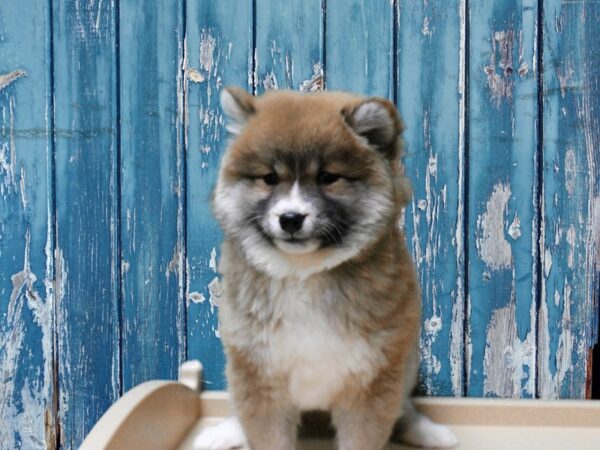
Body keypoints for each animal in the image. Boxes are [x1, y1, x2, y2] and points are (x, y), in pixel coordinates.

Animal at [195, 88, 458, 450]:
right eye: (270, 179)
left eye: (327, 178)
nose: (290, 218)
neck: (304, 274)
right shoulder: (259, 376)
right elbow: (264, 435)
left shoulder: (372, 381)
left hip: (406, 364)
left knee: (403, 408)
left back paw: (427, 431)